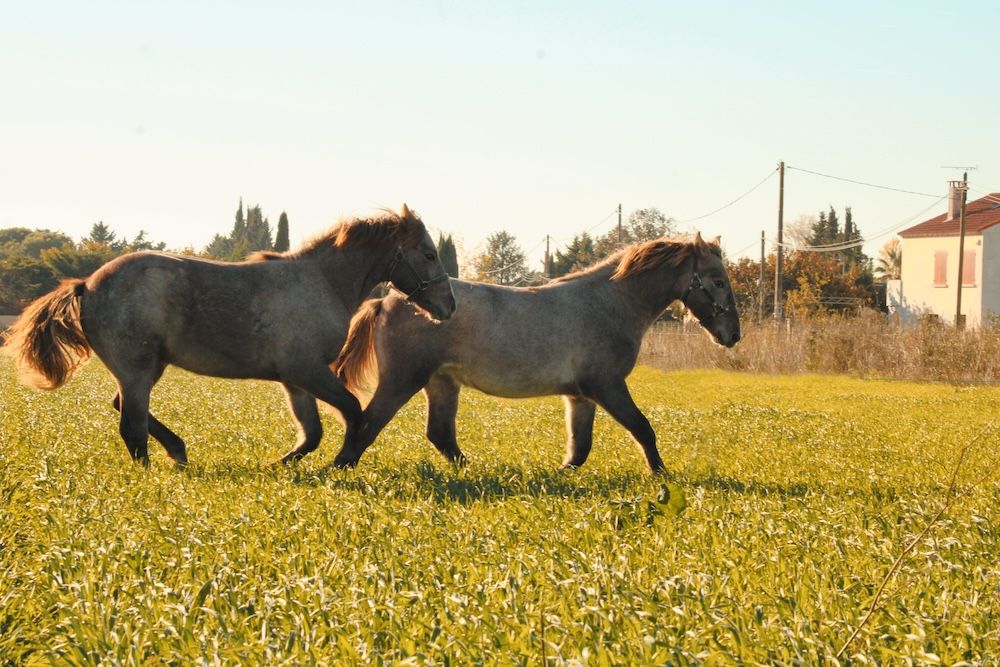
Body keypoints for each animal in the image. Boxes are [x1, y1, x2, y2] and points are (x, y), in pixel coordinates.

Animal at [2, 206, 458, 468]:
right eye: (429, 253)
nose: (449, 306)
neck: (322, 282)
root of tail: (88, 285)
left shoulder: (295, 379)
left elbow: (312, 432)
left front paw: (280, 466)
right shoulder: (308, 370)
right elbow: (353, 412)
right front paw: (342, 462)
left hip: (147, 368)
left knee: (126, 412)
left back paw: (178, 452)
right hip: (137, 369)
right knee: (130, 426)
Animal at [332, 232, 740, 472]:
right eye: (718, 281)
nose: (732, 335)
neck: (610, 302)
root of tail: (387, 301)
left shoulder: (581, 397)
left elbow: (579, 449)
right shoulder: (607, 386)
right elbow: (643, 429)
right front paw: (663, 476)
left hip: (441, 382)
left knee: (440, 435)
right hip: (403, 380)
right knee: (367, 426)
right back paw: (339, 468)